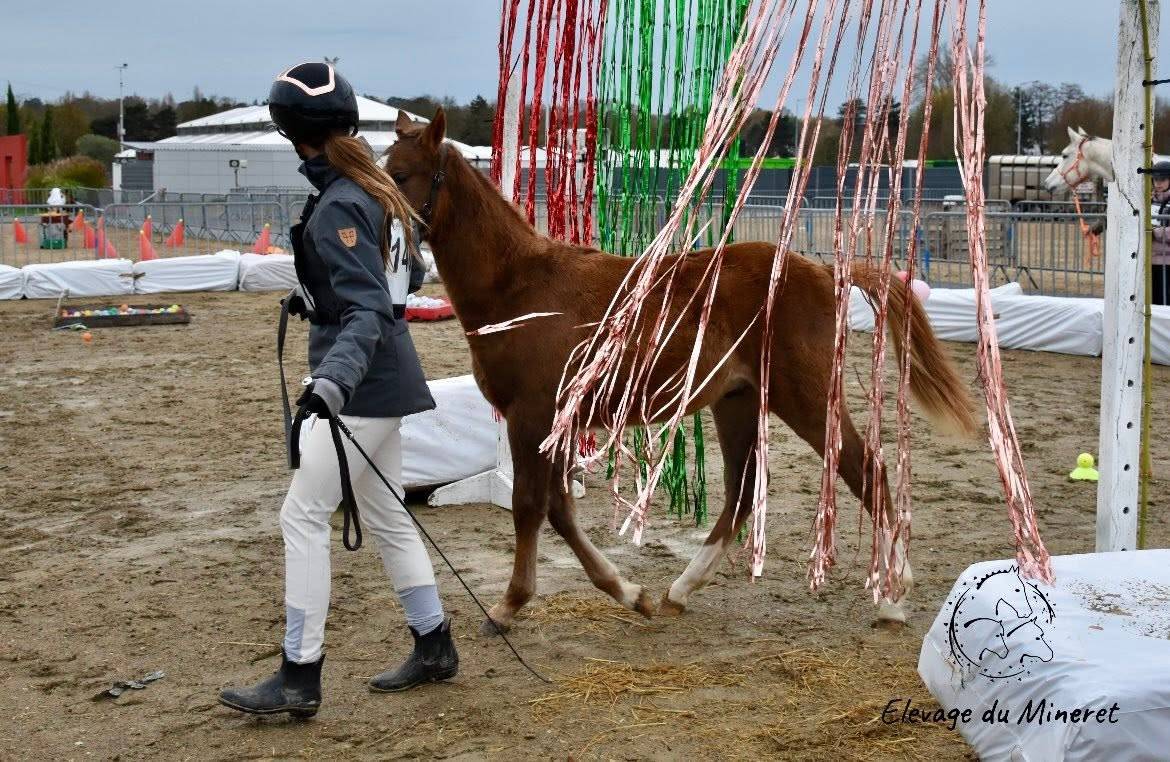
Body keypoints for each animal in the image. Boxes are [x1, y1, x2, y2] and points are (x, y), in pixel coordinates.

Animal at [386, 108, 978, 632]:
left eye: (401, 174)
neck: (520, 287)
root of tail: (825, 271)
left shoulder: (531, 416)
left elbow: (529, 505)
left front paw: (509, 604)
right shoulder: (556, 423)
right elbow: (558, 508)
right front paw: (630, 593)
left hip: (807, 399)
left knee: (865, 471)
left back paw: (893, 596)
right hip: (738, 401)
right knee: (742, 493)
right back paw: (680, 589)